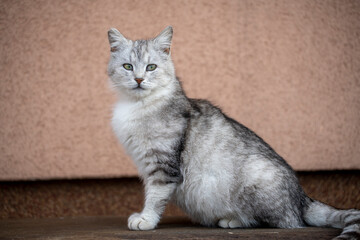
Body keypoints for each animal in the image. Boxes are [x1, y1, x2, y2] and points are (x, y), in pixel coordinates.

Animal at [107, 25, 360, 238]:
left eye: (151, 67)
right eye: (128, 66)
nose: (139, 79)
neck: (136, 106)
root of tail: (303, 198)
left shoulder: (163, 166)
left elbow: (155, 196)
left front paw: (146, 219)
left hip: (257, 178)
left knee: (281, 222)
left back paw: (232, 220)